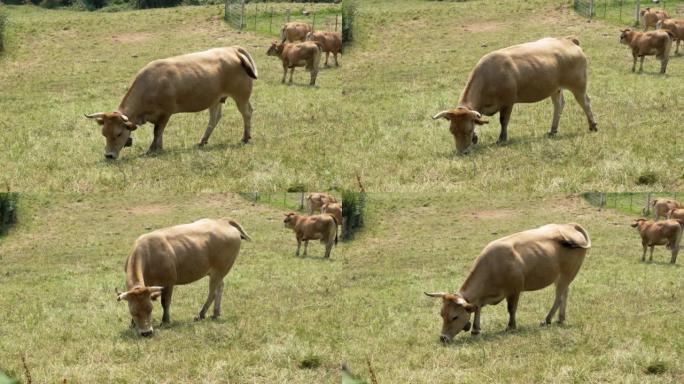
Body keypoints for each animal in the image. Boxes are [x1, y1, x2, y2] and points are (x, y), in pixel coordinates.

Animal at [85, 47, 256, 160]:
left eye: (119, 133)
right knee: (214, 118)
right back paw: (203, 141)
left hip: (241, 96)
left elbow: (157, 131)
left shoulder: (165, 114)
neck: (151, 84)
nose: (109, 155)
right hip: (215, 99)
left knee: (246, 113)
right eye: (104, 133)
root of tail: (232, 49)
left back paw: (245, 137)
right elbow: (158, 132)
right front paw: (158, 148)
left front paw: (153, 149)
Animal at [116, 219, 252, 336]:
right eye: (133, 312)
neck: (148, 254)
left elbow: (165, 303)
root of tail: (223, 221)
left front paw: (165, 321)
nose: (147, 332)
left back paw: (201, 314)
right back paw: (215, 313)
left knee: (213, 292)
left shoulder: (168, 282)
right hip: (217, 273)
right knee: (220, 287)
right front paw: (132, 324)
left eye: (150, 309)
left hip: (219, 271)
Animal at [422, 222, 588, 342]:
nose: (443, 338)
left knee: (558, 296)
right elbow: (477, 308)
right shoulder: (481, 298)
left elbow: (511, 309)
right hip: (562, 278)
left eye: (455, 317)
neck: (493, 265)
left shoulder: (514, 291)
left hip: (567, 275)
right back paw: (560, 318)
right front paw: (475, 329)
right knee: (565, 293)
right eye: (442, 314)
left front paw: (511, 326)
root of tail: (569, 226)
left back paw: (547, 320)